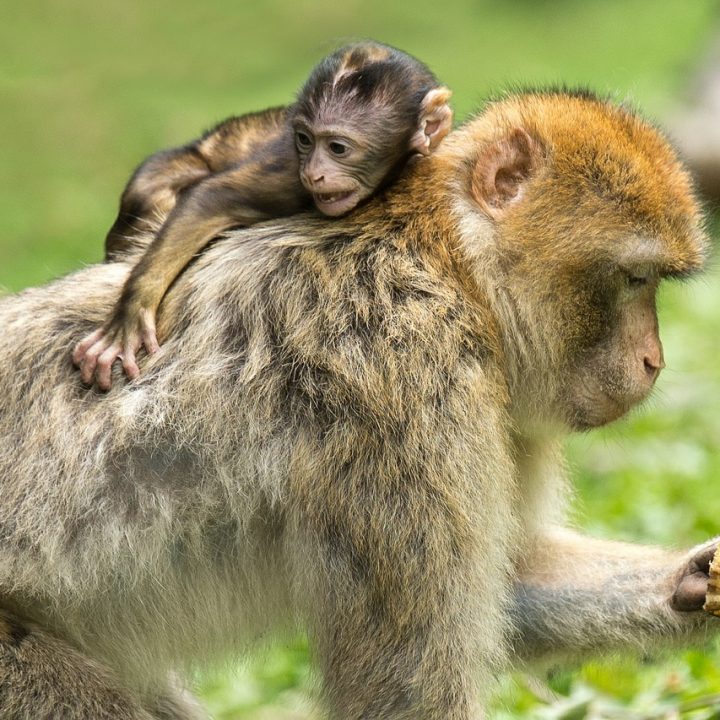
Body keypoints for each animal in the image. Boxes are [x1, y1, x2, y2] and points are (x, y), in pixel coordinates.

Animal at [0, 91, 716, 720]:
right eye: (635, 278)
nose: (653, 361)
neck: (451, 265)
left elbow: (510, 581)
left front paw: (694, 580)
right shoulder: (402, 380)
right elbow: (407, 690)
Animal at [74, 40, 456, 388]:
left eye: (337, 148)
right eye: (304, 140)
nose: (314, 173)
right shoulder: (289, 176)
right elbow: (210, 199)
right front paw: (129, 317)